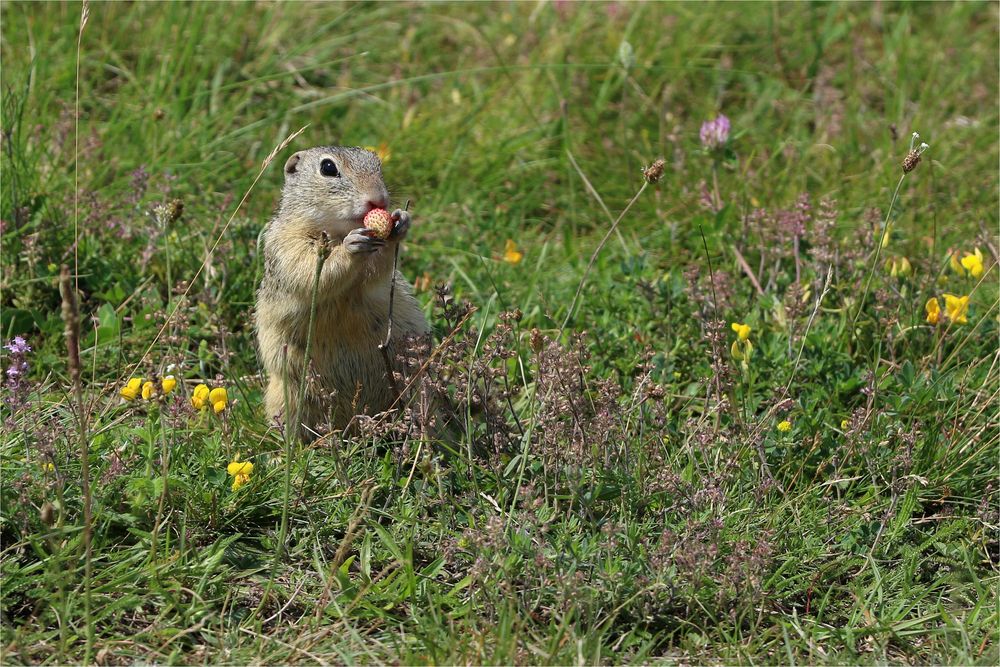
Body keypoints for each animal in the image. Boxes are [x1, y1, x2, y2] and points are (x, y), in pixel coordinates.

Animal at [256, 147, 428, 436]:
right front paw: (350, 247)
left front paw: (400, 223)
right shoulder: (286, 244)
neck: (338, 230)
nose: (378, 199)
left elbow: (375, 275)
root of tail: (354, 425)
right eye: (328, 168)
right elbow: (309, 271)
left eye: (377, 164)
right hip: (287, 398)